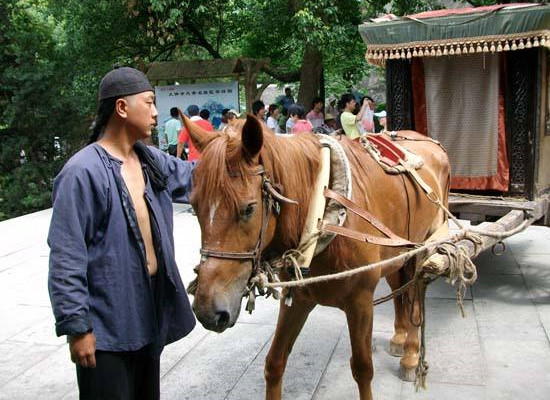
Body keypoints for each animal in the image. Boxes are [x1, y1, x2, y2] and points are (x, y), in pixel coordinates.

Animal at [183, 113, 450, 400]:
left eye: (248, 209)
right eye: (194, 205)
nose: (207, 311)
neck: (323, 214)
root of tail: (429, 141)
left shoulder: (360, 301)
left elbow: (363, 369)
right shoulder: (298, 298)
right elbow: (274, 363)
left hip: (424, 245)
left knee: (416, 294)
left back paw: (411, 354)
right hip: (397, 252)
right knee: (399, 286)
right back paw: (400, 338)